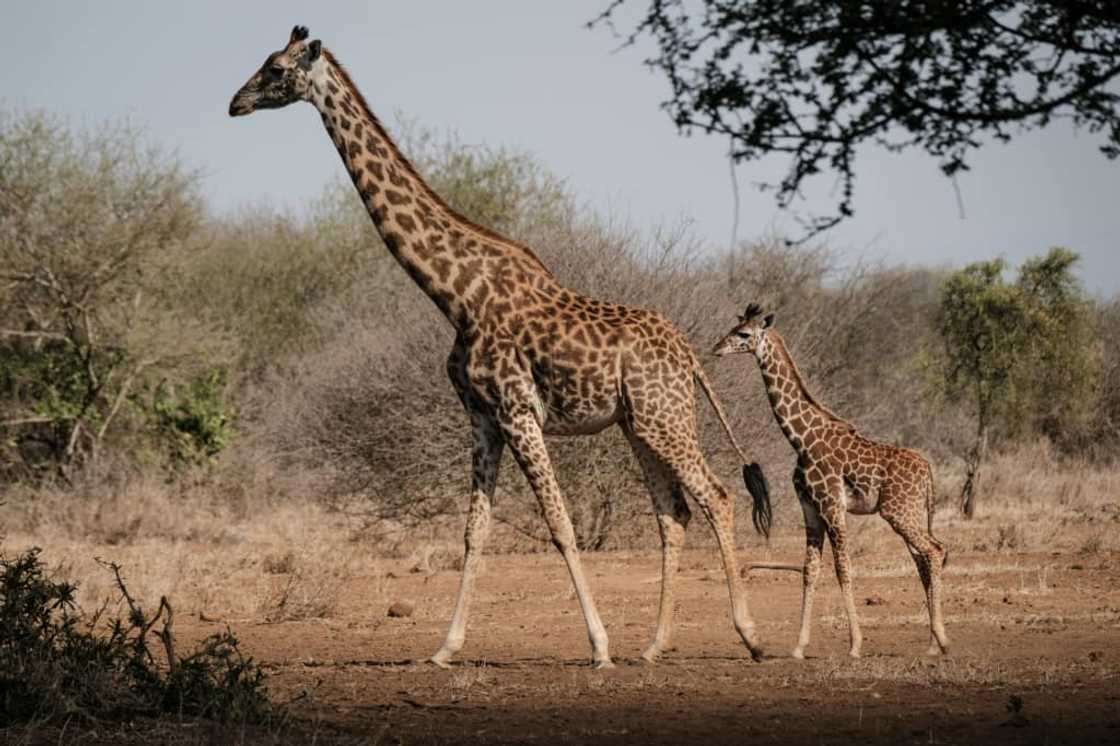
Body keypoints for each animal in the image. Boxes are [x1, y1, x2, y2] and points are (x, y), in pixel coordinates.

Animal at [229, 26, 767, 668]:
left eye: (276, 69)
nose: (235, 103)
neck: (455, 293)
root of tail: (688, 355)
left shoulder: (517, 410)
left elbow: (560, 523)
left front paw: (599, 647)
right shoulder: (482, 417)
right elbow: (474, 531)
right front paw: (445, 648)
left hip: (666, 419)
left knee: (717, 496)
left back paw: (750, 635)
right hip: (638, 424)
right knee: (675, 512)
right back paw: (654, 645)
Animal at [713, 304, 949, 659]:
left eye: (743, 333)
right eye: (734, 327)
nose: (716, 348)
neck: (801, 438)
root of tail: (928, 472)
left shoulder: (832, 504)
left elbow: (843, 568)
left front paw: (855, 645)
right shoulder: (810, 507)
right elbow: (810, 571)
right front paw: (799, 647)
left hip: (898, 512)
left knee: (935, 550)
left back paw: (943, 640)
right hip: (912, 513)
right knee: (924, 558)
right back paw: (932, 644)